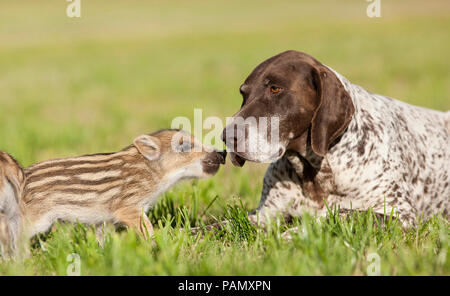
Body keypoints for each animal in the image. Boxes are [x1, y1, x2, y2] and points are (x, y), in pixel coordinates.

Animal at [221, 50, 446, 231]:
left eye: (275, 89)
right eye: (244, 93)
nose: (226, 137)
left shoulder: (401, 216)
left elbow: (338, 215)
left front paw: (296, 232)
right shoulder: (264, 215)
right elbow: (223, 224)